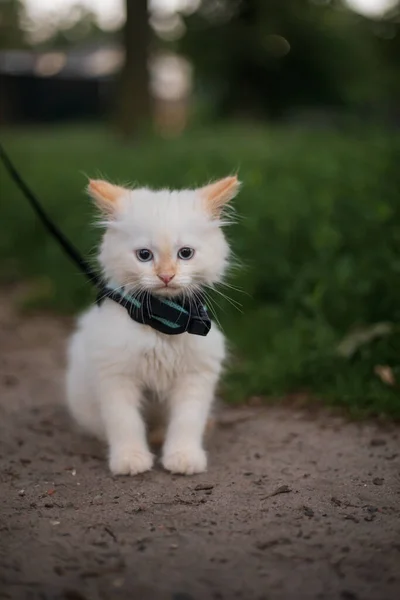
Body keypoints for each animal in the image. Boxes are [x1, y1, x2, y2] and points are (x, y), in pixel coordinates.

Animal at [66, 176, 241, 476]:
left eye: (185, 253)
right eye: (144, 255)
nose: (166, 276)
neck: (164, 319)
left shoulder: (196, 375)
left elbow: (186, 422)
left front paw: (183, 457)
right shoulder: (115, 375)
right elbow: (125, 422)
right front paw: (130, 459)